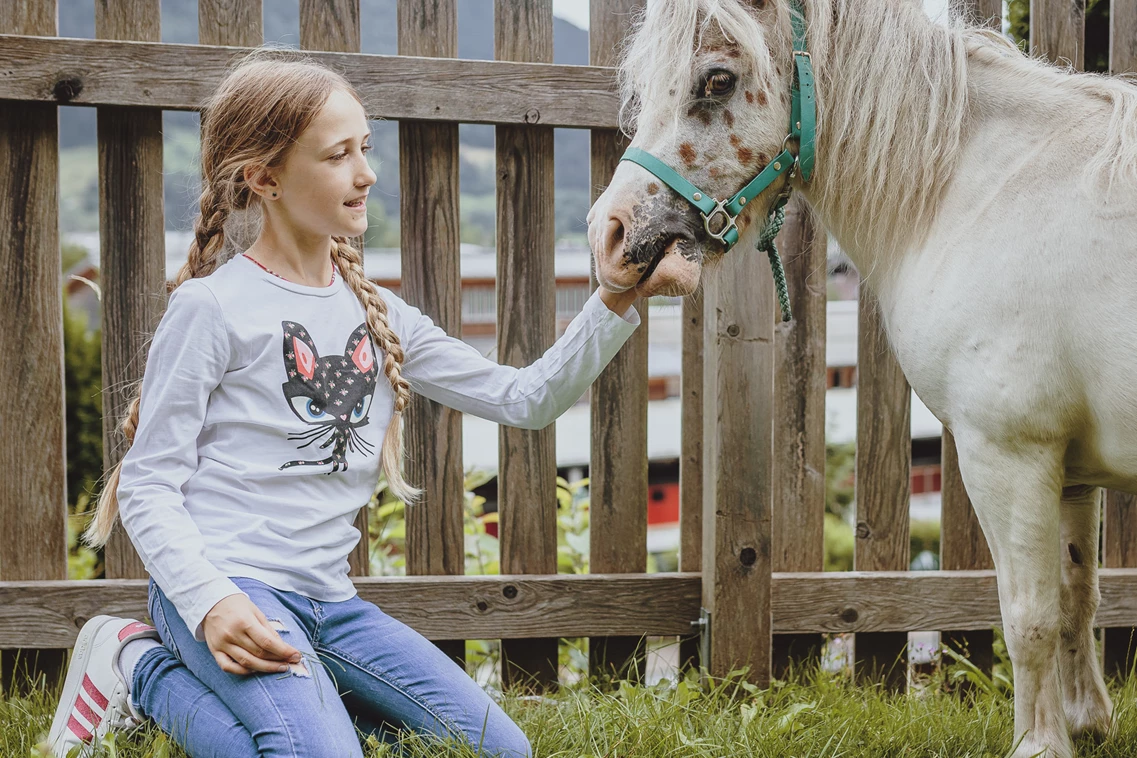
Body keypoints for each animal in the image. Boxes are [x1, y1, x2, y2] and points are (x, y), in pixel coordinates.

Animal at [591, 1, 1137, 758]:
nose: (608, 233)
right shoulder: (1072, 471)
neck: (983, 186)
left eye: (717, 79)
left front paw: (1039, 744)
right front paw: (1087, 725)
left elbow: (1029, 614)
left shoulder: (1011, 455)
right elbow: (1077, 598)